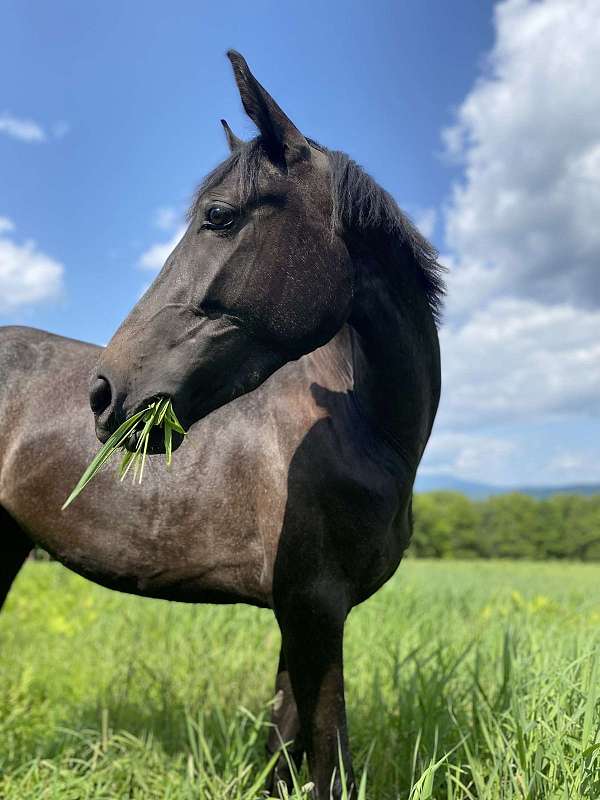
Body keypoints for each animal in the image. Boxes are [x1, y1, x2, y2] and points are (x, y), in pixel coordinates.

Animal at [0, 51, 440, 800]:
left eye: (218, 215)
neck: (369, 433)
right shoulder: (317, 611)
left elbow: (285, 748)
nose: (104, 393)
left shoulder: (305, 618)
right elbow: (327, 759)